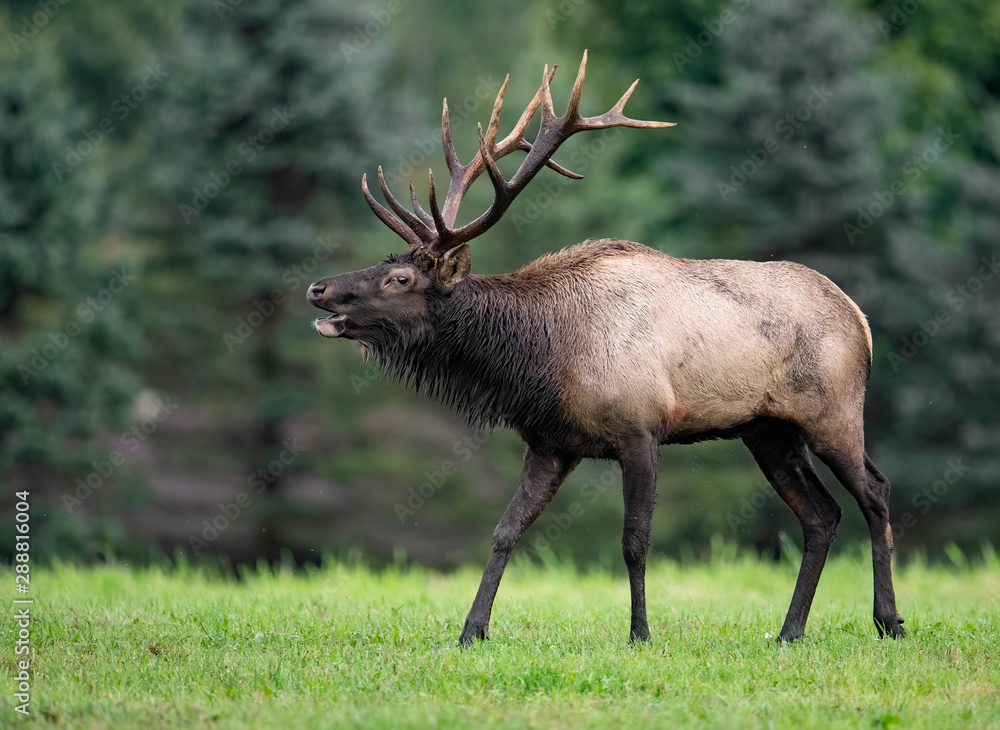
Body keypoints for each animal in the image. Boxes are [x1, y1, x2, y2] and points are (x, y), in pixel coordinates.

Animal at [307, 51, 905, 646]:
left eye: (400, 278)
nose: (317, 288)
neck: (542, 361)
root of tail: (861, 319)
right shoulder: (550, 443)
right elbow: (504, 532)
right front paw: (471, 631)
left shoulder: (641, 431)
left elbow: (634, 541)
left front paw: (640, 633)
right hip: (768, 431)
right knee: (821, 515)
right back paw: (789, 631)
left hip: (832, 412)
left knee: (874, 492)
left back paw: (887, 621)